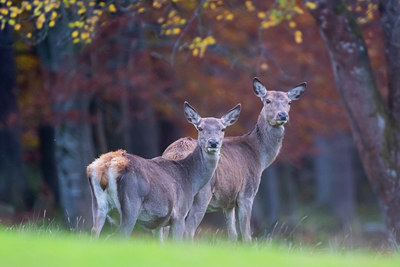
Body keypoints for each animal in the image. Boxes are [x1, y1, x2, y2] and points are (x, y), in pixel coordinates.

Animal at [85, 102, 239, 241]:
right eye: (200, 128)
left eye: (223, 129)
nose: (213, 143)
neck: (190, 178)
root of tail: (105, 166)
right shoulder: (180, 213)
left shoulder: (158, 224)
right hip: (131, 203)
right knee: (119, 235)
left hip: (98, 204)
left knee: (94, 232)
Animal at [162, 78, 306, 243]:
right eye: (267, 100)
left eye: (289, 102)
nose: (282, 115)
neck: (259, 156)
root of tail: (176, 154)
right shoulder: (247, 193)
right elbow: (246, 235)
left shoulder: (228, 202)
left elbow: (233, 235)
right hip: (201, 195)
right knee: (188, 229)